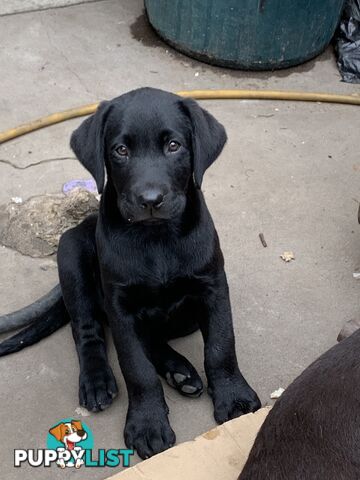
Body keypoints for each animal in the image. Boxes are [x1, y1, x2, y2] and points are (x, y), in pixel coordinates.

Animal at [0, 88, 262, 460]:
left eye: (174, 146)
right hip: (71, 253)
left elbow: (221, 345)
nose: (150, 199)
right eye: (120, 150)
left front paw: (233, 398)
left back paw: (179, 372)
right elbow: (136, 367)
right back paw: (98, 380)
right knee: (88, 332)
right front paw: (148, 424)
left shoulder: (213, 285)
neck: (157, 238)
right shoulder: (120, 306)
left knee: (150, 339)